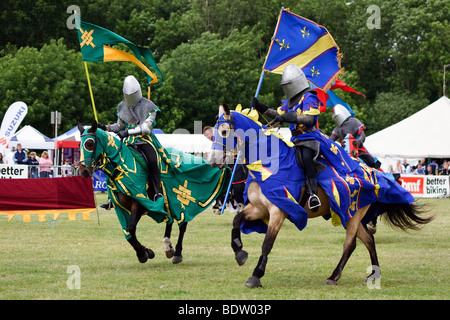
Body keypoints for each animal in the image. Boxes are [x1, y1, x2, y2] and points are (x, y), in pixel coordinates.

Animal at [211, 107, 432, 288]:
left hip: (352, 213)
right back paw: (373, 275)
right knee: (368, 240)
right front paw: (239, 252)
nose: (214, 160)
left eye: (223, 132)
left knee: (350, 244)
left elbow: (267, 243)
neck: (271, 162)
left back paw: (334, 277)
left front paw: (256, 275)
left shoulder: (278, 210)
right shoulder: (258, 208)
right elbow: (236, 220)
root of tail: (373, 174)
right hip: (350, 215)